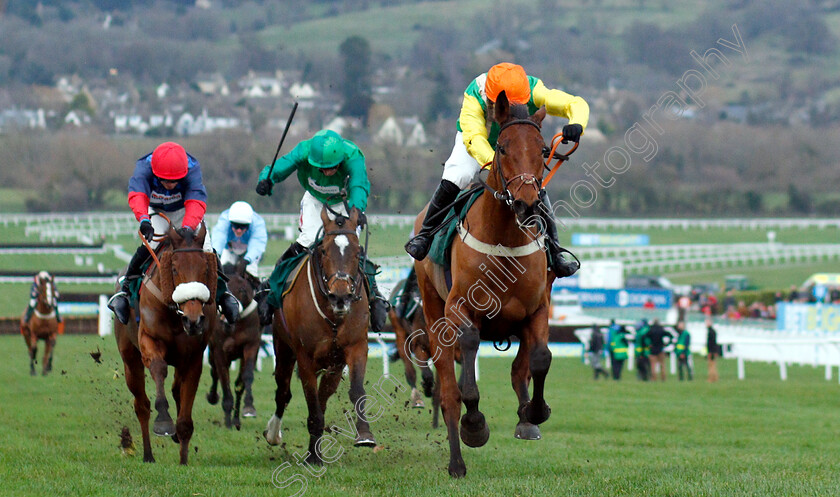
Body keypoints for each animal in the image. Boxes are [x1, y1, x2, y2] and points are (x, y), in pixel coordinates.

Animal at [115, 223, 220, 464]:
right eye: (173, 268)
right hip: (129, 359)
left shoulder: (193, 357)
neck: (175, 315)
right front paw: (163, 420)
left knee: (176, 389)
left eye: (206, 269)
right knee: (141, 405)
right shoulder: (149, 341)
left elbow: (185, 417)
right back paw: (147, 455)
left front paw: (183, 461)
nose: (193, 320)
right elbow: (159, 368)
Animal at [206, 256, 260, 426]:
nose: (230, 312)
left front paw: (248, 407)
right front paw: (227, 421)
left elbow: (246, 378)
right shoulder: (219, 351)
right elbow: (224, 381)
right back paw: (214, 398)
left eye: (242, 290)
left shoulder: (251, 345)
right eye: (222, 288)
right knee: (214, 372)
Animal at [266, 206, 378, 464]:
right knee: (283, 391)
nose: (341, 297)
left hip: (333, 365)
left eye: (357, 252)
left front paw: (365, 434)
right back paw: (274, 434)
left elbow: (356, 391)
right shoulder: (304, 357)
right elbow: (311, 403)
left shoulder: (356, 347)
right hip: (283, 348)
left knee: (322, 396)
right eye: (325, 250)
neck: (333, 315)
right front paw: (313, 457)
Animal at [414, 93, 556, 476]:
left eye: (543, 149)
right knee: (448, 393)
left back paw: (526, 419)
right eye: (503, 148)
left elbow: (540, 358)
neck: (504, 239)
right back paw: (456, 462)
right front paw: (475, 425)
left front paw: (535, 411)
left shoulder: (537, 308)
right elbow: (467, 375)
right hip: (433, 313)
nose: (526, 203)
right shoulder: (460, 307)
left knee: (519, 368)